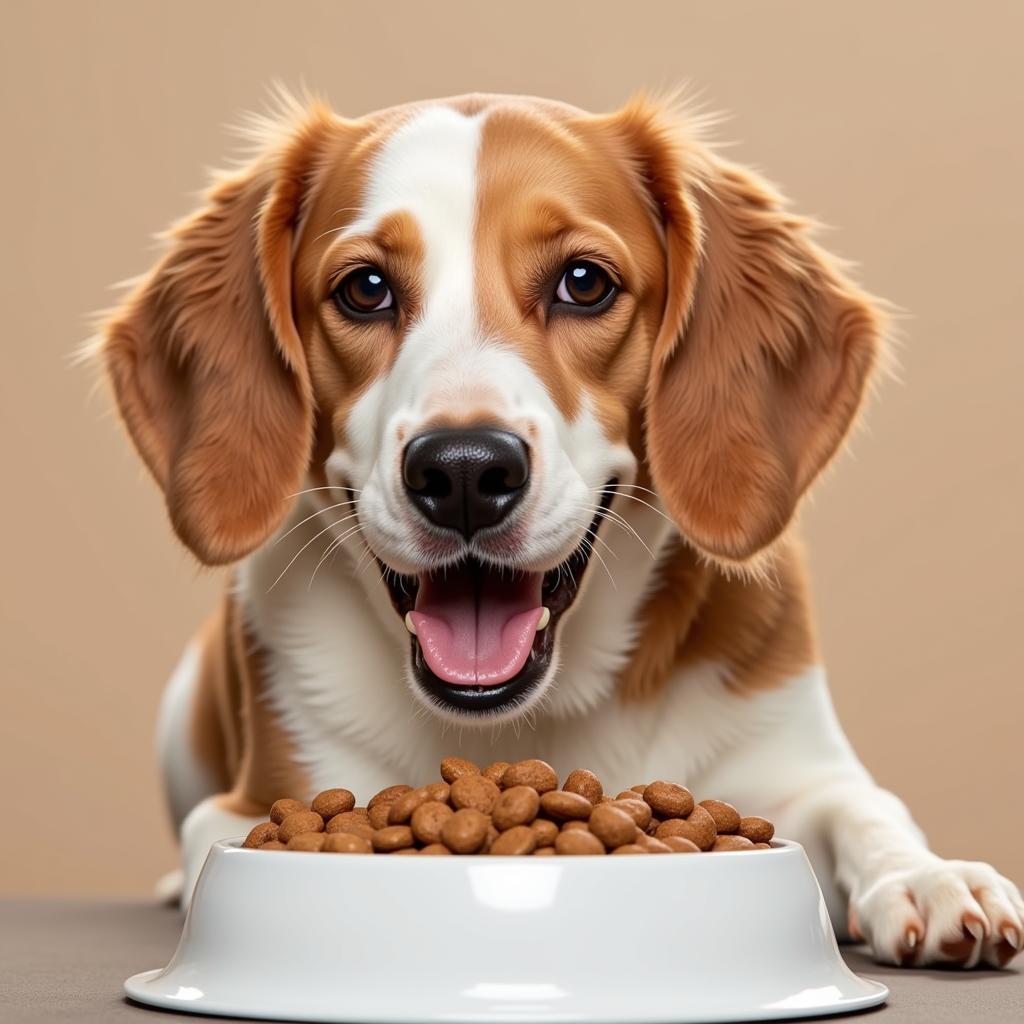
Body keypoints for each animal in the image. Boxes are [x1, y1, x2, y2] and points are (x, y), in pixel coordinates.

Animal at [94, 90, 1015, 966]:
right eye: (365, 288)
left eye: (584, 282)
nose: (465, 472)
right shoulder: (252, 803)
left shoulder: (796, 764)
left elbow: (866, 809)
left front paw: (932, 879)